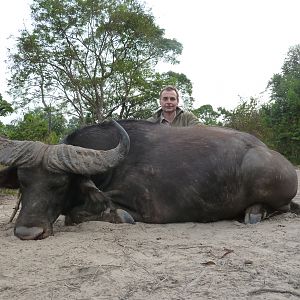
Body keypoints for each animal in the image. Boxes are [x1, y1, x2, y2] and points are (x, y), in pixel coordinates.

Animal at [0, 119, 298, 239]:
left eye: (60, 183)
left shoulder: (143, 208)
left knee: (281, 207)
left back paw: (254, 213)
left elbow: (77, 215)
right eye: (24, 182)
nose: (27, 232)